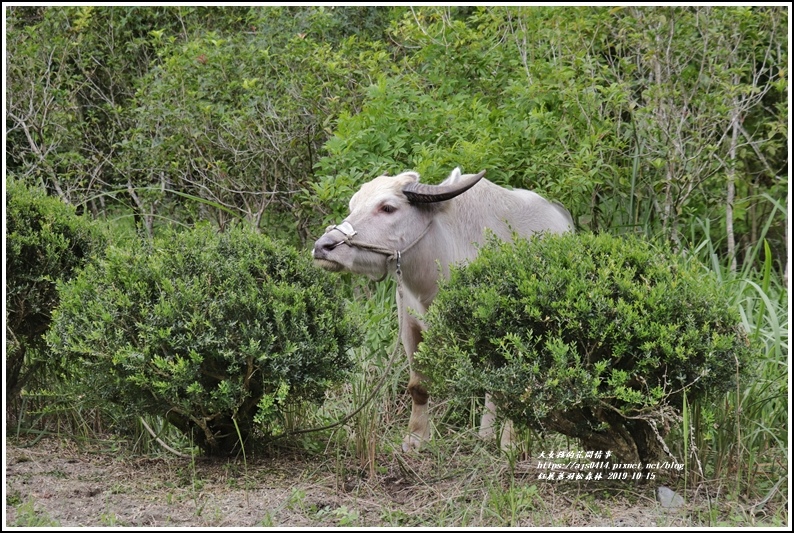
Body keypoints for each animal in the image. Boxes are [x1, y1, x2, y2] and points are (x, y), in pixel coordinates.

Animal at [312, 166, 572, 448]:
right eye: (353, 206)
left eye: (388, 207)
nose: (323, 247)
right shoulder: (410, 329)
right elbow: (418, 386)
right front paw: (415, 437)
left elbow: (515, 388)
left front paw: (511, 443)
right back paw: (485, 432)